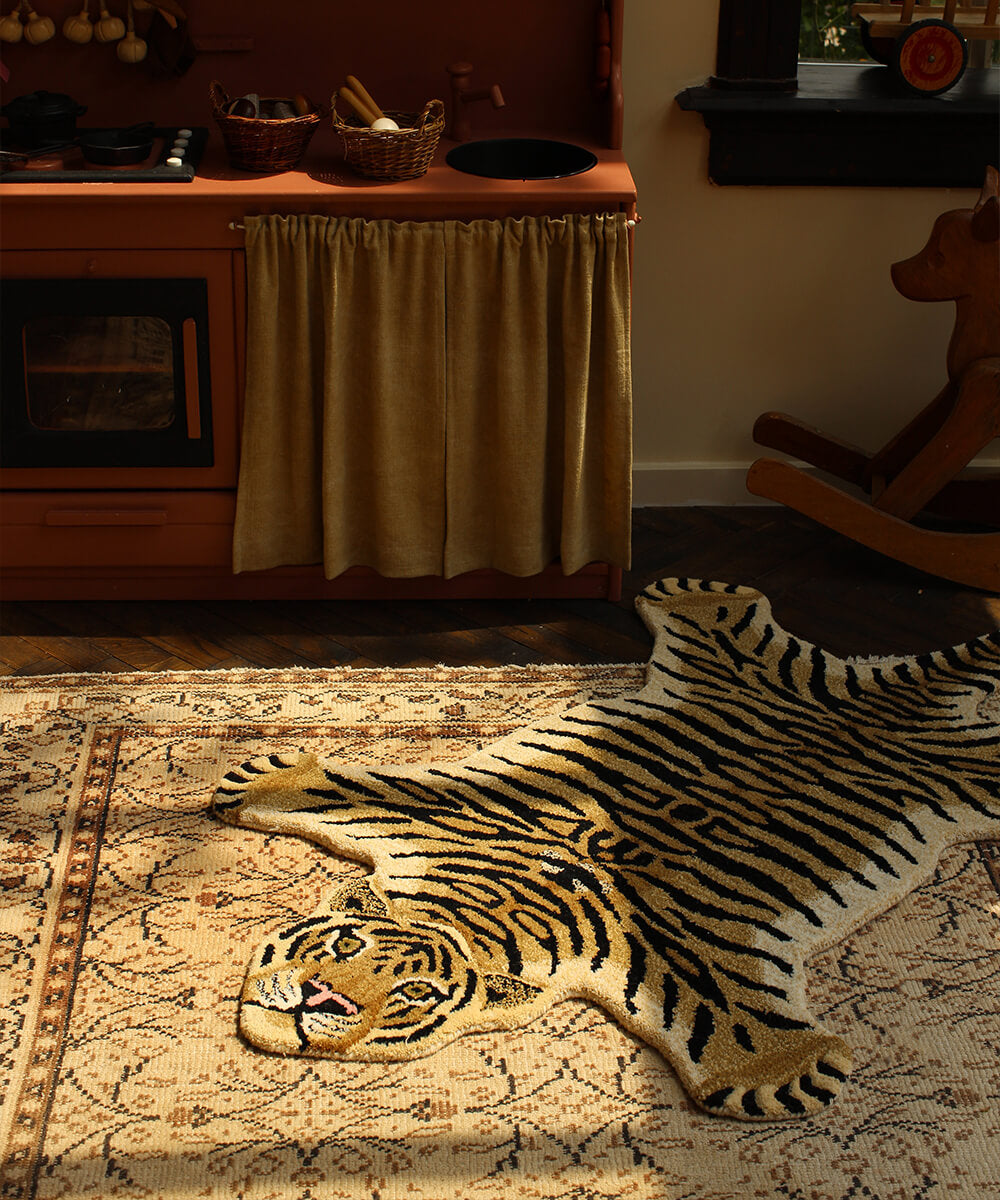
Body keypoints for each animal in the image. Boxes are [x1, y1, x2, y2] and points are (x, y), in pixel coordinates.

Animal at [211, 577, 1000, 1121]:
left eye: (416, 994)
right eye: (344, 945)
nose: (321, 1000)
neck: (488, 911)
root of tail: (889, 695)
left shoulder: (674, 946)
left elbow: (728, 1013)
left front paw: (783, 1070)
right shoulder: (436, 812)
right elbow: (339, 788)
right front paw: (268, 778)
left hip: (971, 780)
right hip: (733, 668)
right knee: (730, 627)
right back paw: (695, 595)